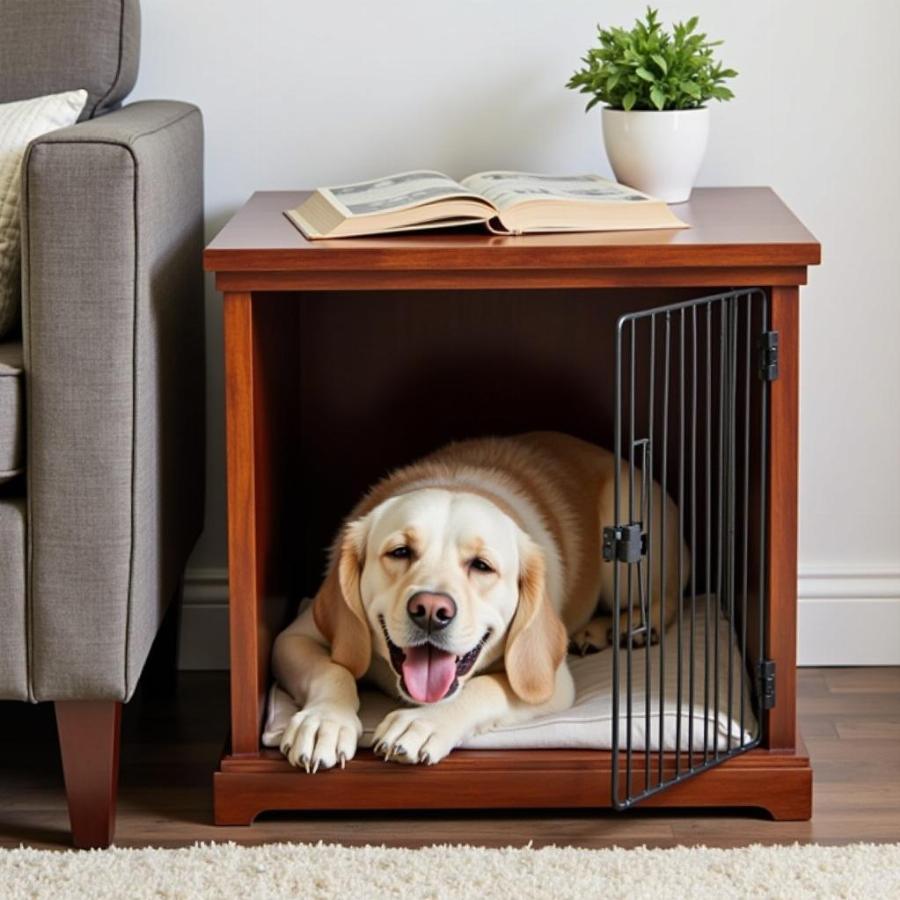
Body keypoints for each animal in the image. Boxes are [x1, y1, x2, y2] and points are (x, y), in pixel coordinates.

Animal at [270, 432, 684, 768]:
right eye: (400, 552)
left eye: (482, 566)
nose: (431, 611)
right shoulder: (293, 638)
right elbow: (333, 669)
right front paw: (324, 721)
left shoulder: (549, 681)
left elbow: (484, 688)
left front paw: (422, 723)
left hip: (625, 542)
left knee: (668, 597)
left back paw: (631, 628)